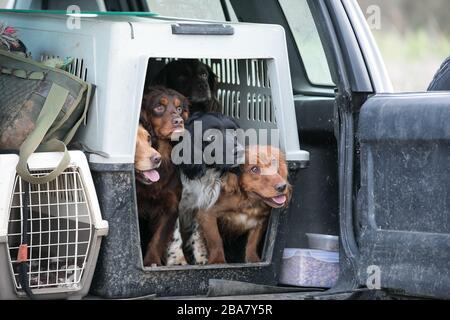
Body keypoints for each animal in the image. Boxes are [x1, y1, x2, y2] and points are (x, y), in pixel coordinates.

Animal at [135, 86, 188, 266]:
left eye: (179, 109)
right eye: (159, 107)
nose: (179, 121)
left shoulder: (170, 205)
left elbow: (158, 237)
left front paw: (152, 261)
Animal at [165, 112, 243, 264]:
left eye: (234, 132)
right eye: (211, 137)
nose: (241, 151)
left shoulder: (199, 205)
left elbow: (197, 233)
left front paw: (201, 257)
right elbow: (175, 232)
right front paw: (177, 259)